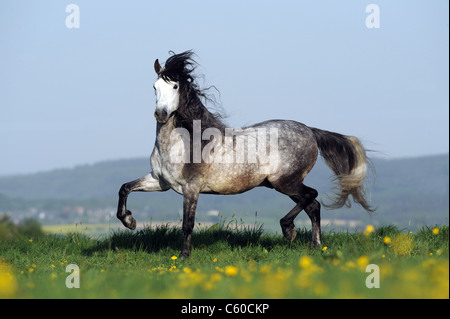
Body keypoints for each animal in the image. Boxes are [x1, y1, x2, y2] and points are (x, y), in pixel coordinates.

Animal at [118, 51, 374, 258]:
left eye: (175, 87)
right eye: (154, 87)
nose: (161, 114)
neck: (183, 142)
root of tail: (310, 130)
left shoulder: (191, 187)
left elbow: (187, 223)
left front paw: (183, 256)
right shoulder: (160, 182)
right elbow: (125, 188)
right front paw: (130, 221)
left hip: (285, 182)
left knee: (312, 196)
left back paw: (289, 231)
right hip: (282, 184)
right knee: (313, 205)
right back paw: (315, 246)